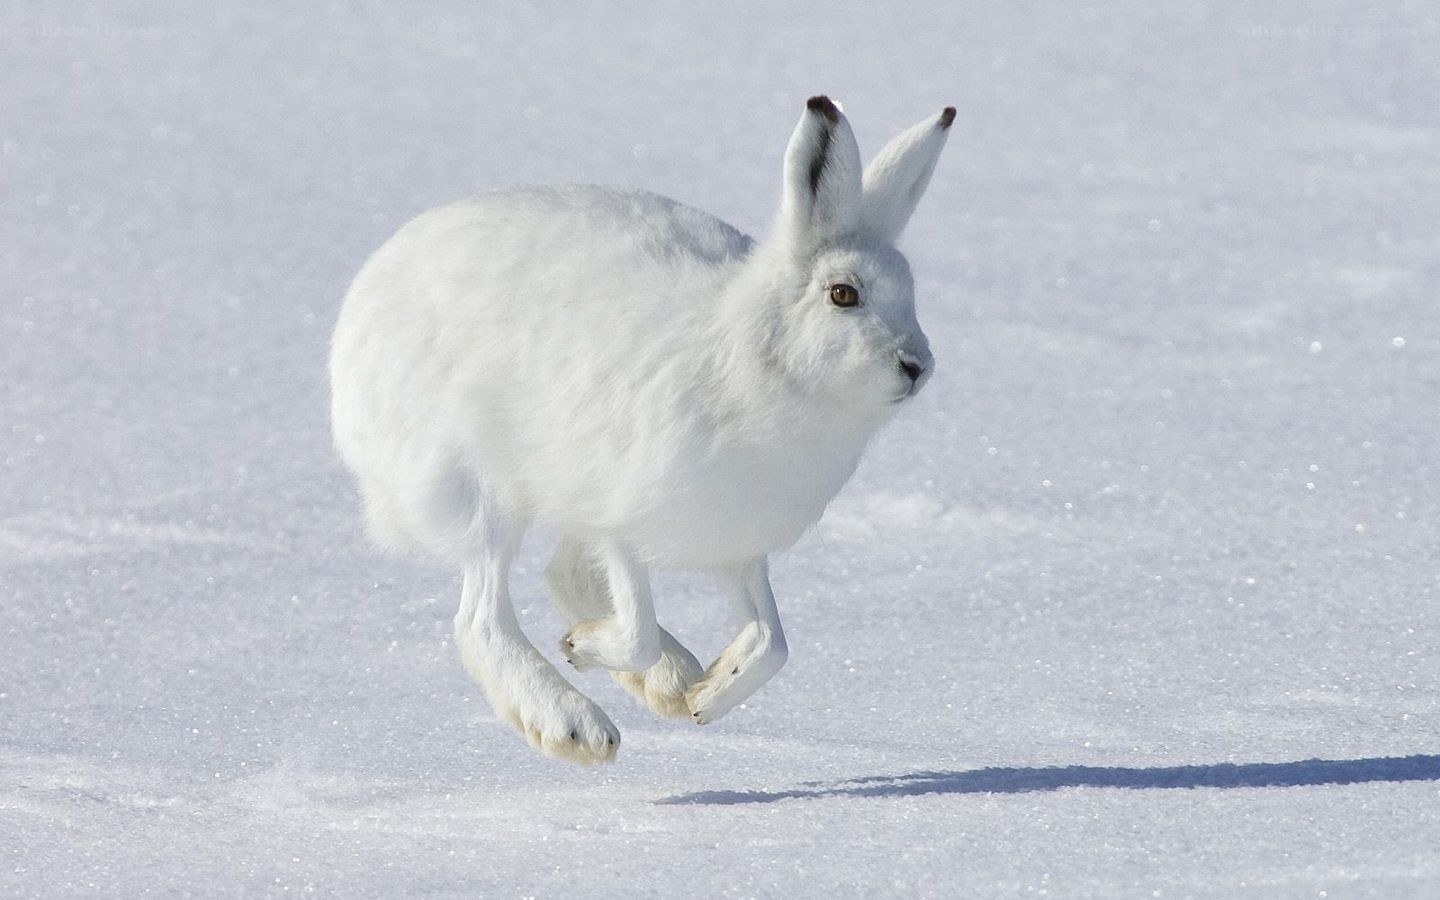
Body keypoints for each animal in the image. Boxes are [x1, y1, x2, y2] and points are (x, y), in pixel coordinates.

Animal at [329, 96, 954, 765]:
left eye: (910, 294)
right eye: (843, 295)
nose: (916, 366)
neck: (759, 361)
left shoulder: (739, 545)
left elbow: (773, 642)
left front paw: (707, 696)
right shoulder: (619, 519)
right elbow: (637, 632)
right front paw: (584, 650)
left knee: (562, 576)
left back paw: (673, 681)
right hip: (482, 488)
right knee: (482, 618)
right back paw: (574, 725)